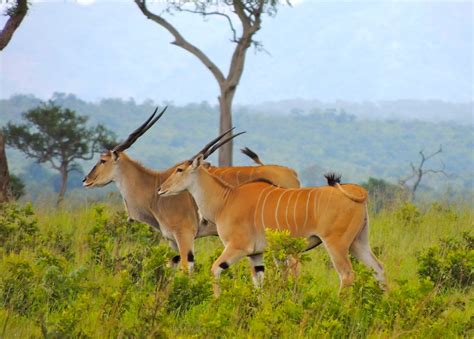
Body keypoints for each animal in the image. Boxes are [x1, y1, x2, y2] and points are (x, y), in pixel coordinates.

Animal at [157, 153, 386, 296]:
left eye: (179, 169)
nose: (160, 189)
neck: (226, 200)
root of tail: (358, 191)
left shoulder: (238, 247)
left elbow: (215, 269)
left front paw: (216, 301)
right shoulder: (256, 254)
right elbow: (259, 283)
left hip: (336, 245)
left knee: (347, 275)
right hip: (358, 243)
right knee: (379, 269)